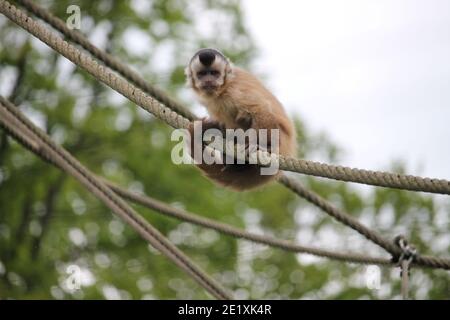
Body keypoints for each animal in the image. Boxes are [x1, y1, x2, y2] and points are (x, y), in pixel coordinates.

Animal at [185, 48, 298, 190]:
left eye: (215, 73)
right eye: (202, 74)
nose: (209, 80)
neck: (223, 89)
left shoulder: (235, 91)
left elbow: (260, 109)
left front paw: (261, 146)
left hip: (281, 142)